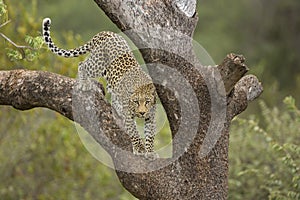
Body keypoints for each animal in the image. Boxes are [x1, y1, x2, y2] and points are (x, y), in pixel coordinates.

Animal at [43, 18, 158, 159]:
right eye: (136, 102)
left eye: (147, 102)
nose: (141, 113)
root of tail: (105, 33)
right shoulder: (129, 116)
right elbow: (134, 133)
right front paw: (140, 149)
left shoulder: (151, 117)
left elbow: (150, 135)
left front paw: (150, 152)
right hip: (97, 64)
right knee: (82, 64)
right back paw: (84, 83)